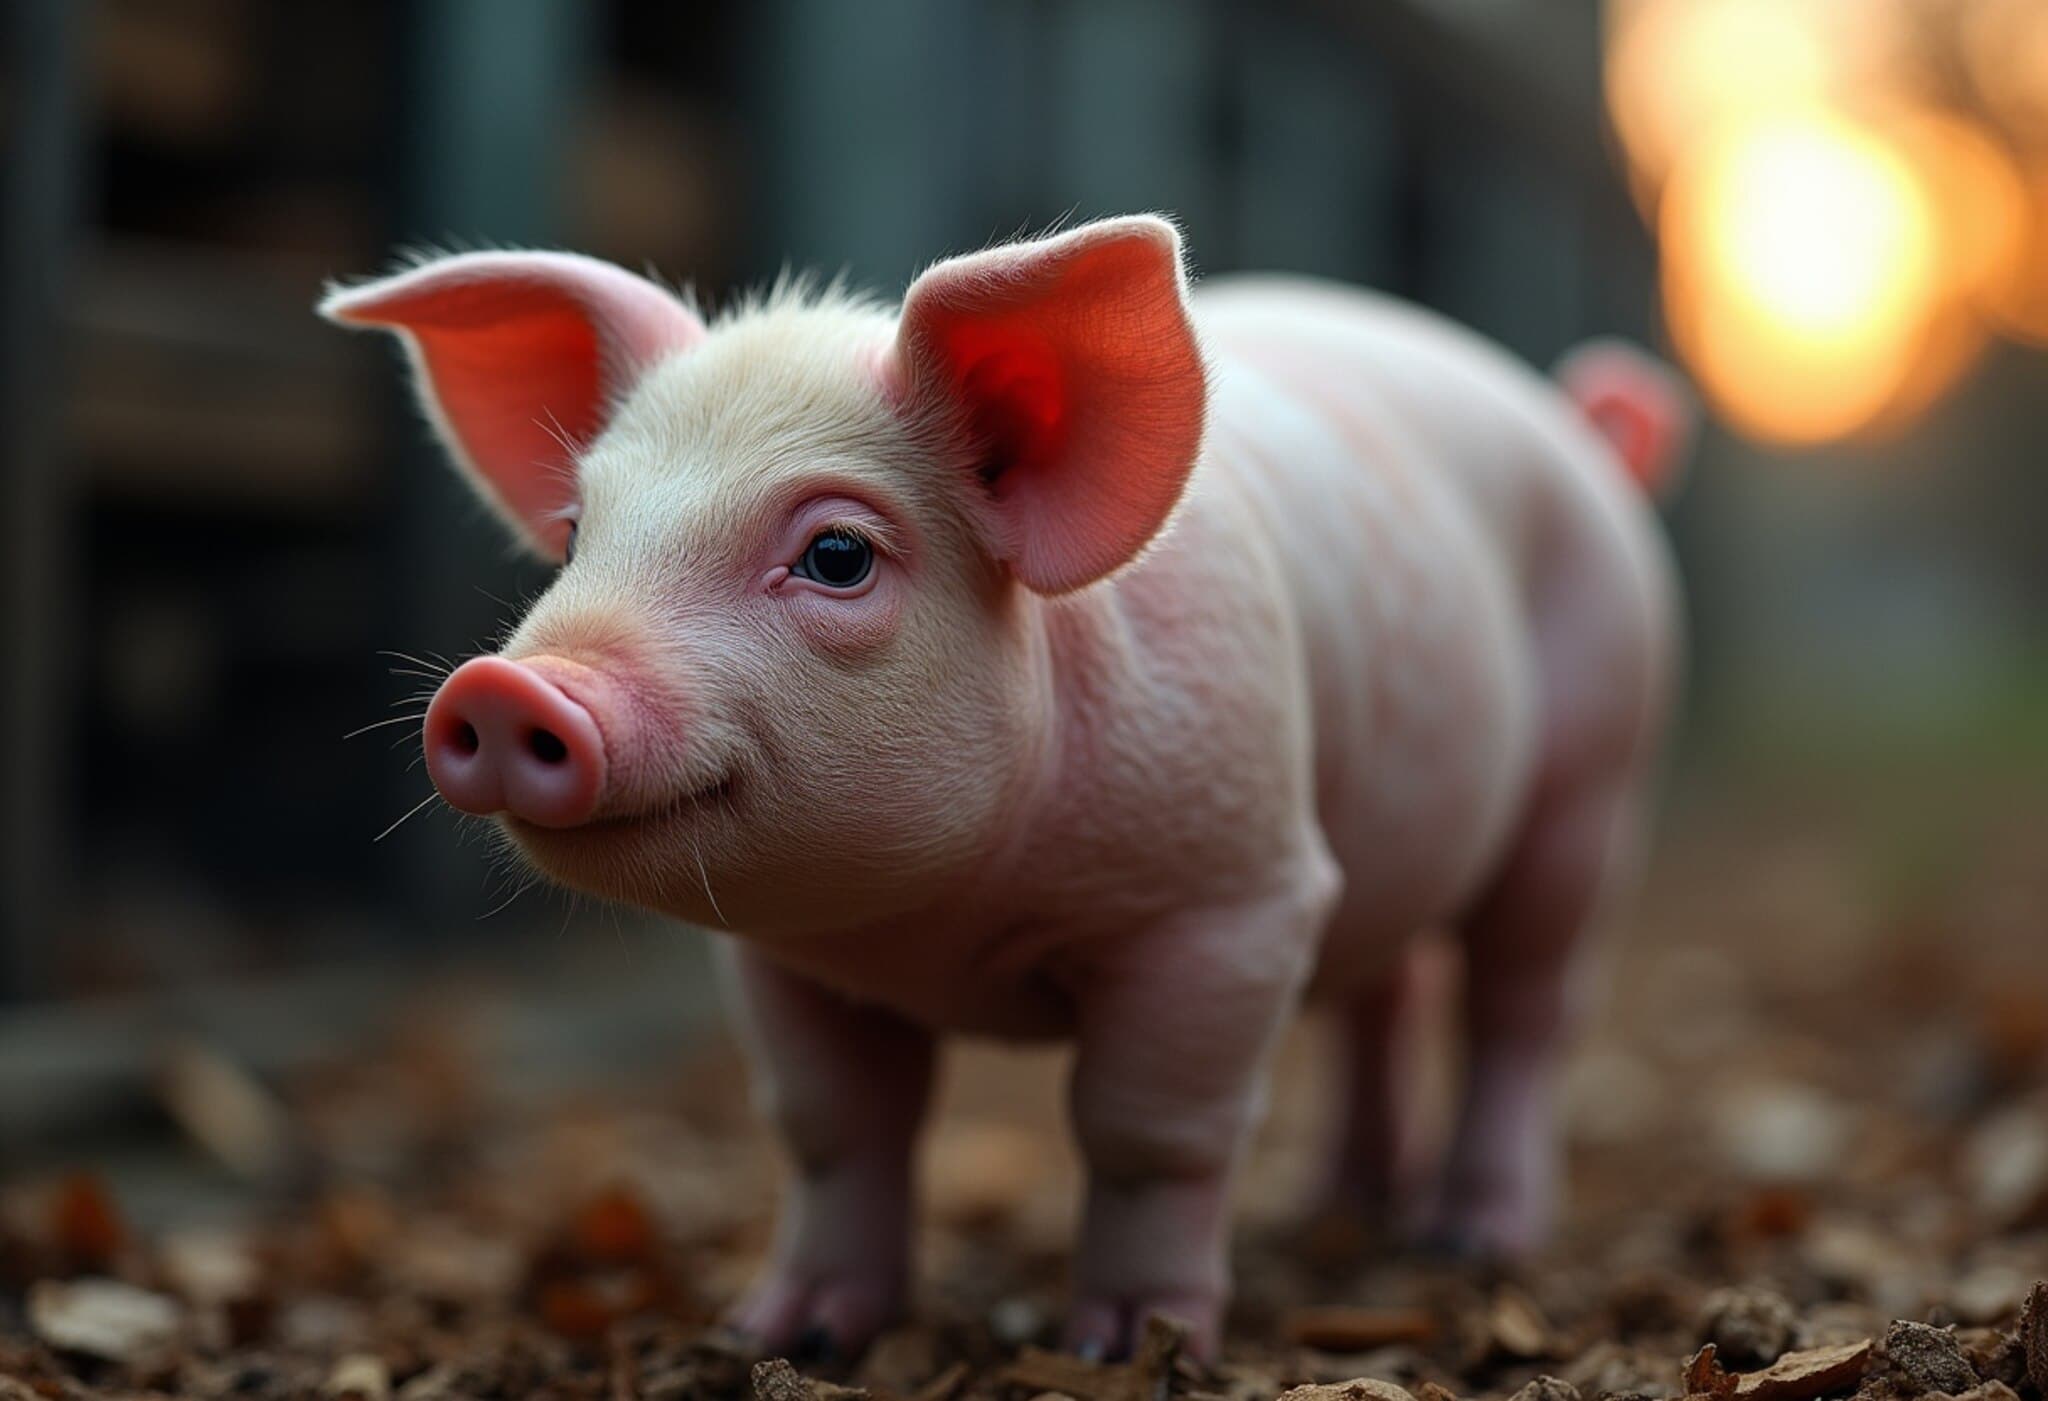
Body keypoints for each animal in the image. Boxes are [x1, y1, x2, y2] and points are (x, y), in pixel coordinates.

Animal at [320, 215, 1688, 1360]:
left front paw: (1126, 1349)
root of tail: (1570, 420)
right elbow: (832, 1126)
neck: (944, 926)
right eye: (572, 534)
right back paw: (1333, 1211)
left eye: (837, 554)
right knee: (1383, 996)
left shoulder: (1236, 895)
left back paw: (1466, 1238)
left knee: (1521, 1007)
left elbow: (1147, 1131)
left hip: (1591, 778)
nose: (507, 690)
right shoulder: (781, 955)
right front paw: (786, 1335)